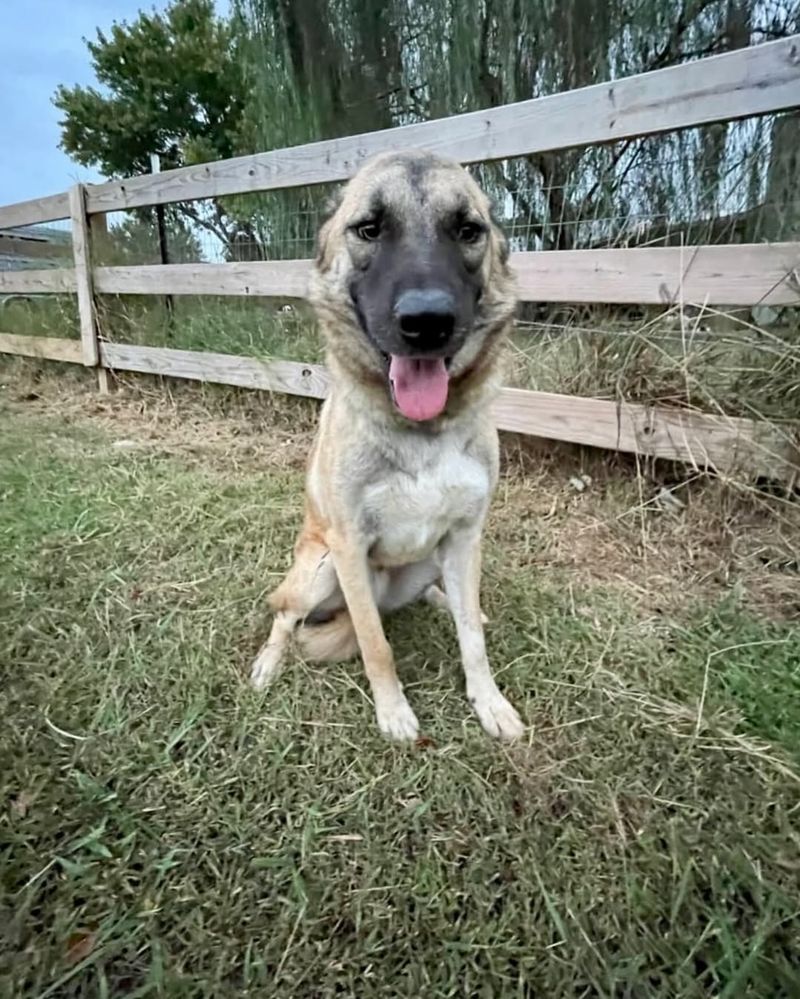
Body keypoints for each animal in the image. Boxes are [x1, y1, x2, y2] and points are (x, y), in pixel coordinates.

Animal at [252, 150, 524, 744]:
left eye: (468, 230)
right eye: (369, 229)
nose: (428, 322)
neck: (419, 430)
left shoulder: (465, 535)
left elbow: (473, 640)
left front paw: (489, 701)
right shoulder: (350, 545)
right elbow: (376, 645)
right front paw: (393, 712)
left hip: (429, 560)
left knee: (437, 595)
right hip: (322, 568)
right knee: (286, 614)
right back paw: (268, 662)